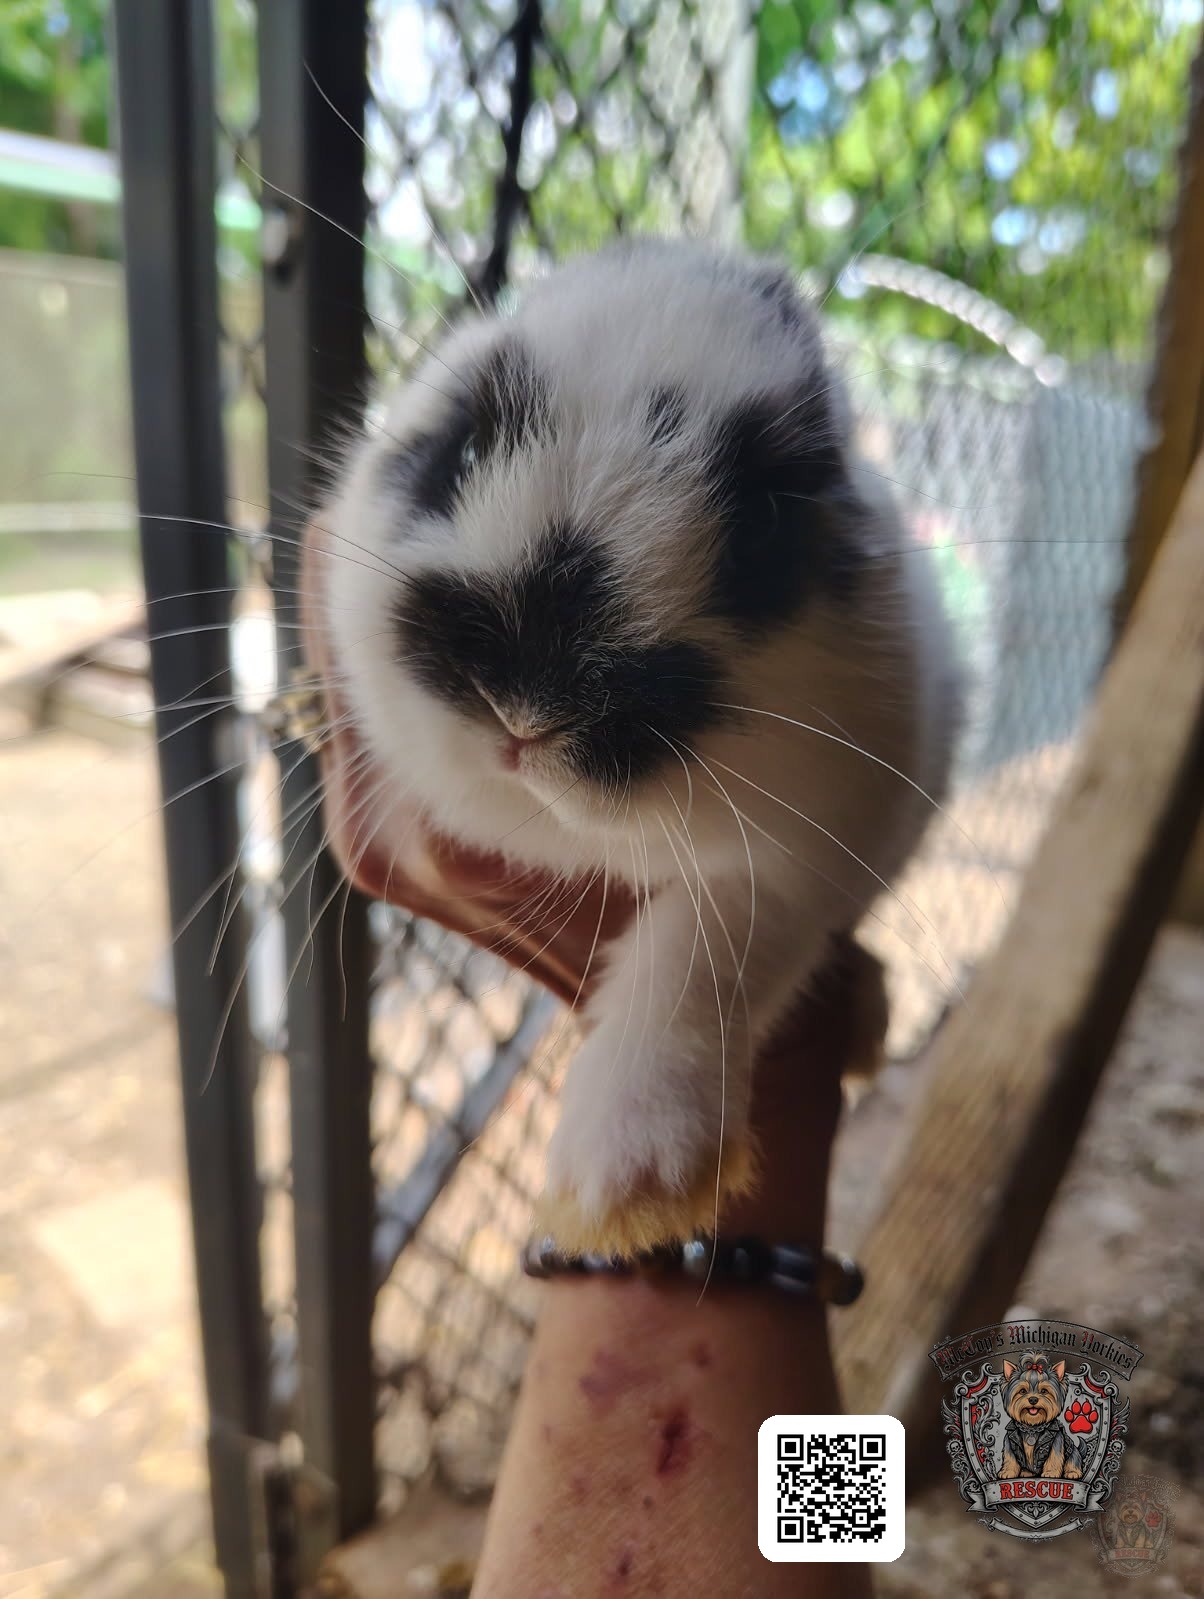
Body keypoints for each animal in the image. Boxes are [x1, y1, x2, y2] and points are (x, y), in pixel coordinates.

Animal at [315, 237, 961, 1252]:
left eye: (764, 526)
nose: (524, 705)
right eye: (465, 448)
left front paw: (629, 1187)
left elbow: (702, 952)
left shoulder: (803, 859)